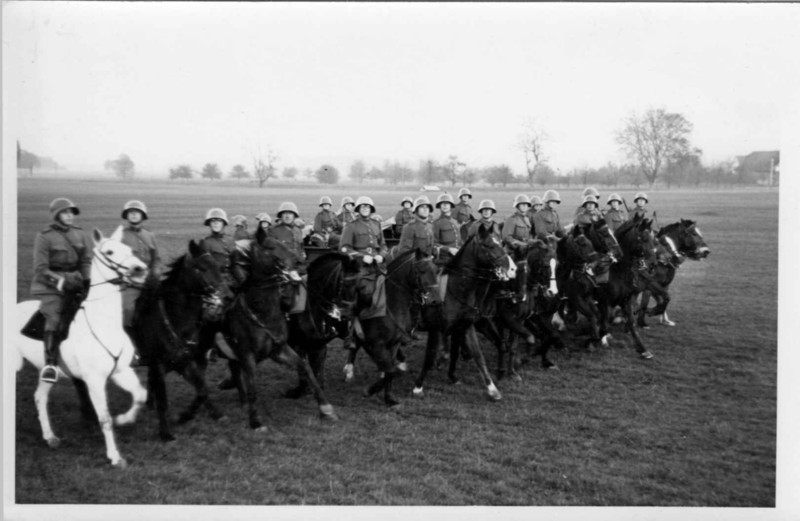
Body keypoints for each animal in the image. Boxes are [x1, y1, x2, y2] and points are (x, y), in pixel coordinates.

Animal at [13, 226, 150, 468]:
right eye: (110, 252)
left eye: (129, 249)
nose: (140, 269)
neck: (103, 323)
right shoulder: (94, 380)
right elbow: (104, 418)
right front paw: (115, 456)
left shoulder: (122, 371)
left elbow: (140, 394)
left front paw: (125, 419)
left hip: (47, 371)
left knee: (40, 397)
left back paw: (50, 437)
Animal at [128, 240, 228, 438]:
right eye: (202, 268)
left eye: (219, 267)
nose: (222, 299)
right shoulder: (159, 364)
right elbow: (163, 400)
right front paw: (165, 433)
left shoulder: (184, 362)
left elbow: (202, 390)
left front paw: (185, 417)